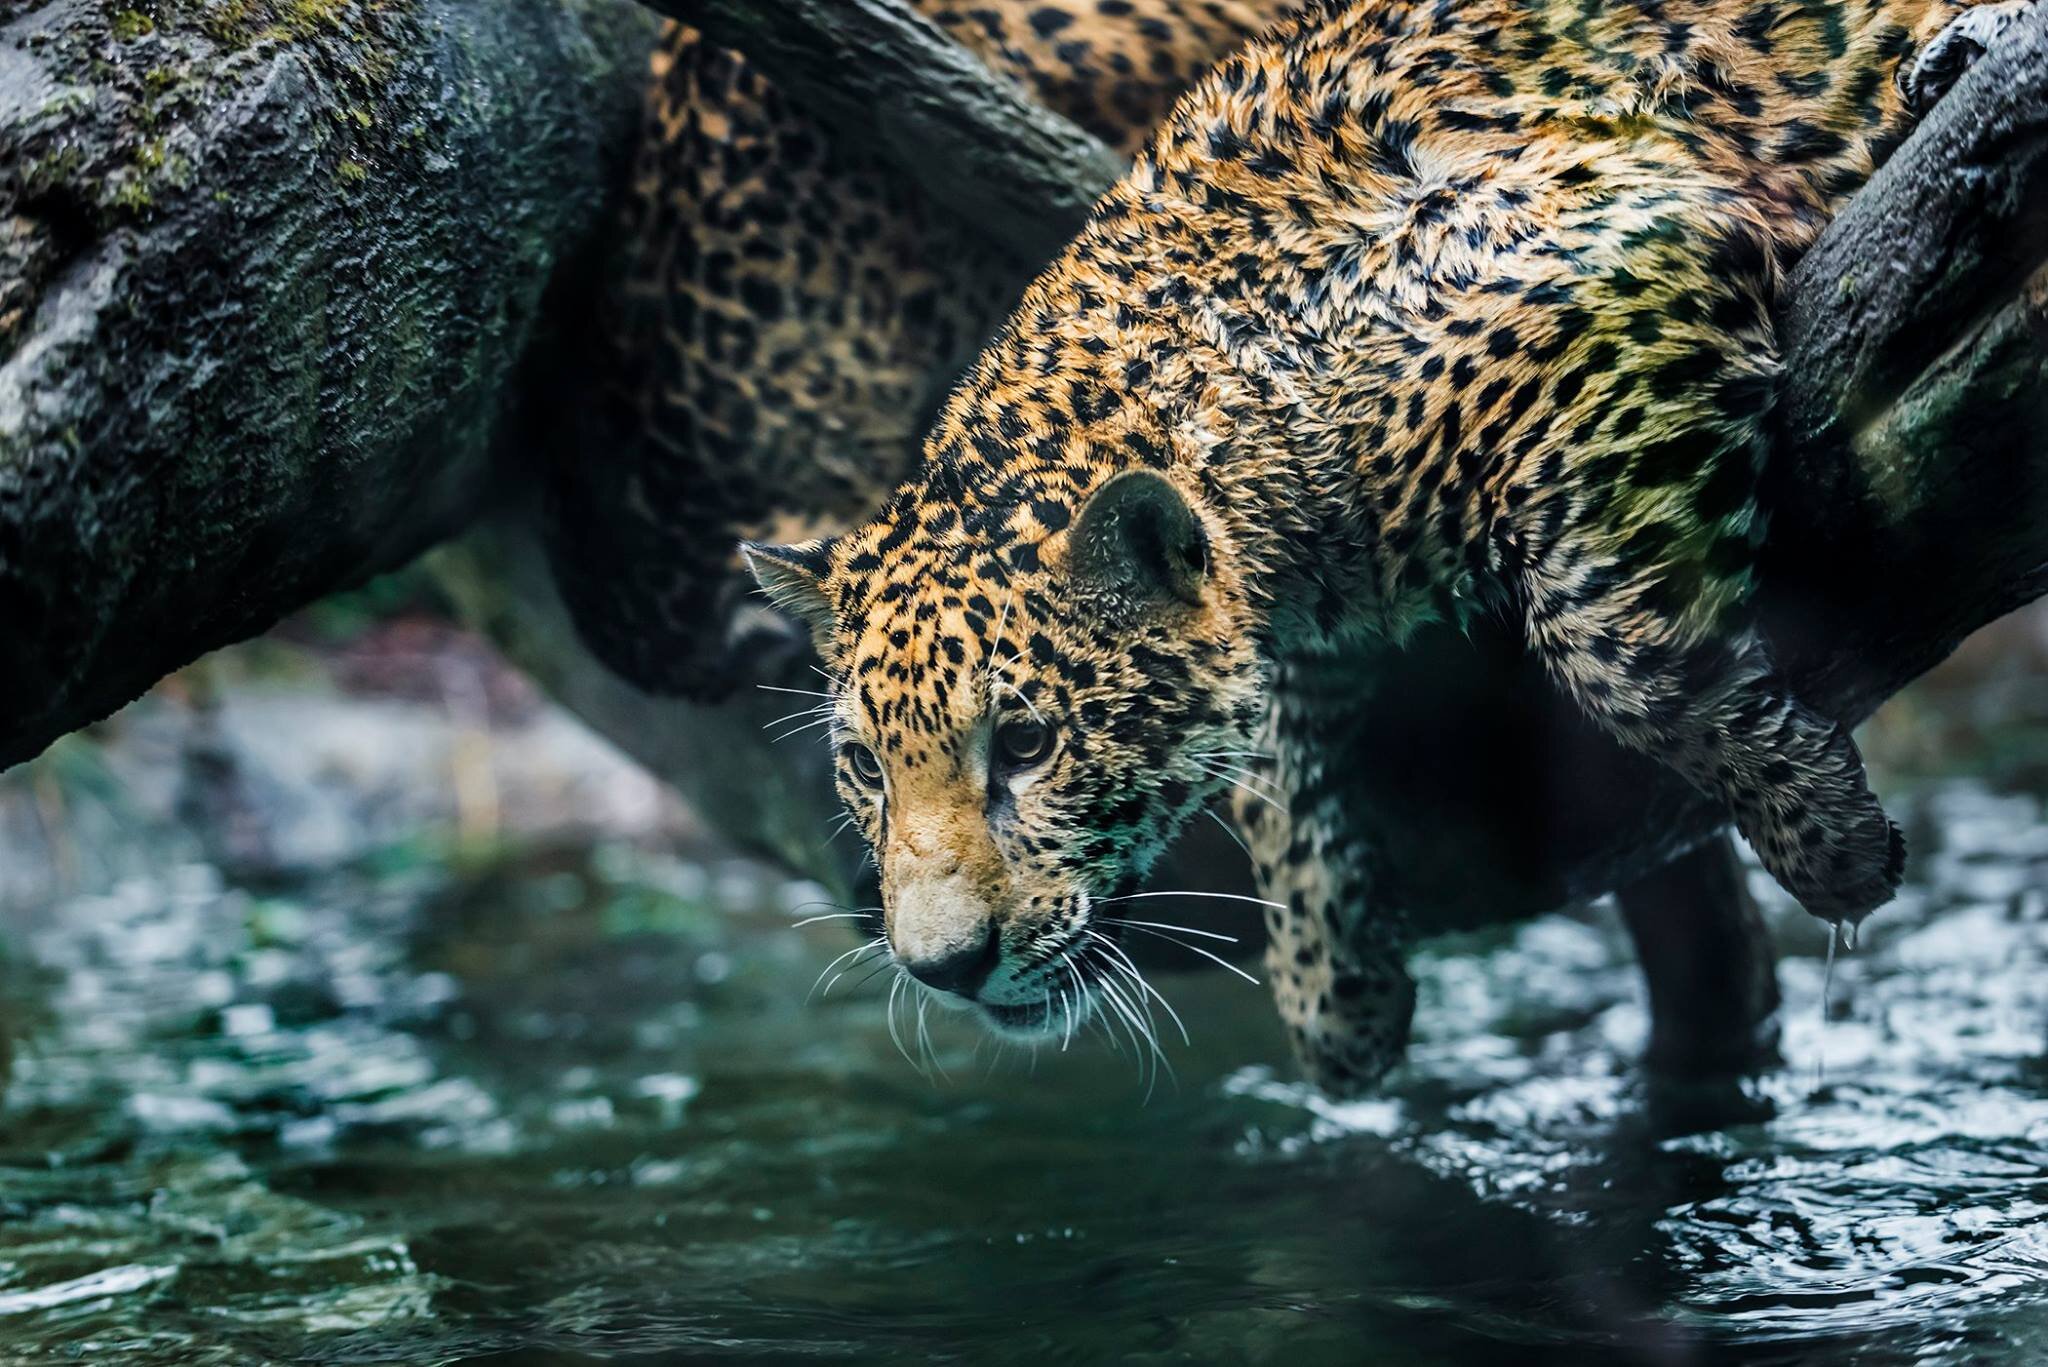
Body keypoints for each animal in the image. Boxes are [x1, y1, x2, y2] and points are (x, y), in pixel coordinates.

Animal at [744, 0, 2036, 1096]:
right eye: (866, 768)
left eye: (1023, 744)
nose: (941, 967)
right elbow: (1275, 758)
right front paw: (1335, 994)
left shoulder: (1610, 251)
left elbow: (1606, 647)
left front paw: (1828, 840)